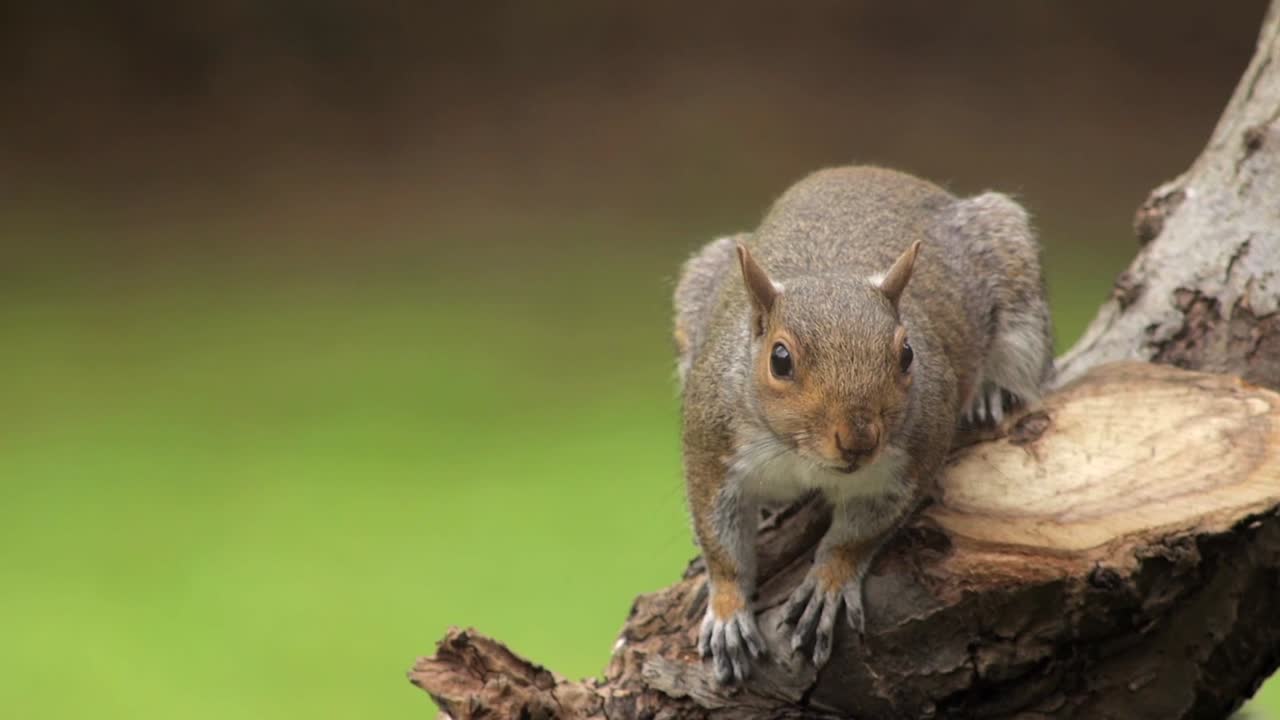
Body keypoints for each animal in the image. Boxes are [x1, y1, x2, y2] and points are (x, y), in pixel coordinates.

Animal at [672, 165, 1053, 684]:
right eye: (780, 359)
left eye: (907, 353)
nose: (859, 441)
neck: (800, 455)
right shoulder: (711, 447)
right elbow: (720, 541)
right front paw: (728, 608)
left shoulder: (910, 460)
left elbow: (858, 534)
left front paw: (828, 583)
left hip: (1014, 278)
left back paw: (992, 392)